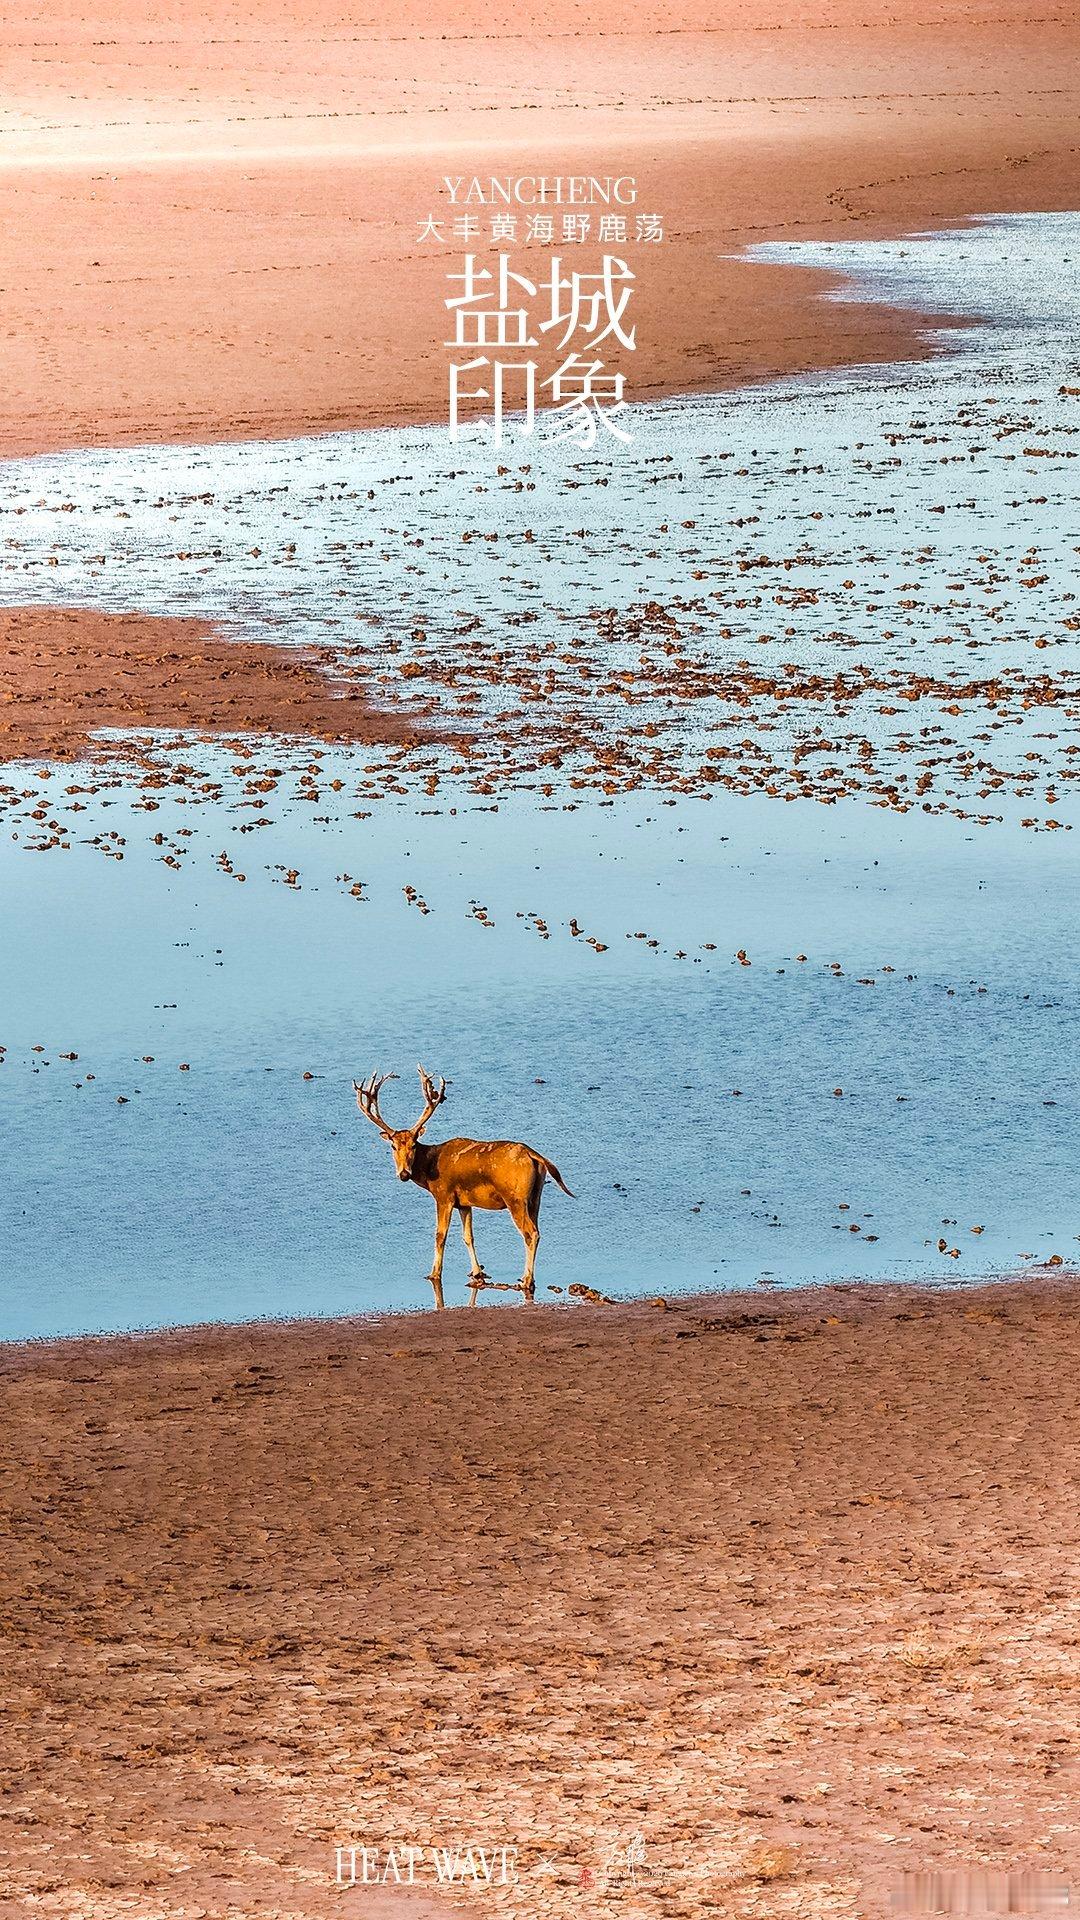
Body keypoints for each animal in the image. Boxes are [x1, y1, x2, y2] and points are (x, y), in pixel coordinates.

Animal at [353, 1065, 574, 1308]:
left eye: (413, 1145)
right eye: (393, 1146)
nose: (403, 1174)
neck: (429, 1171)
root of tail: (534, 1155)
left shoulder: (444, 1195)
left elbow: (440, 1235)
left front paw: (434, 1273)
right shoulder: (464, 1203)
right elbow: (468, 1236)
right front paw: (477, 1272)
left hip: (515, 1198)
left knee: (530, 1233)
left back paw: (526, 1280)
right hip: (536, 1196)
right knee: (537, 1229)